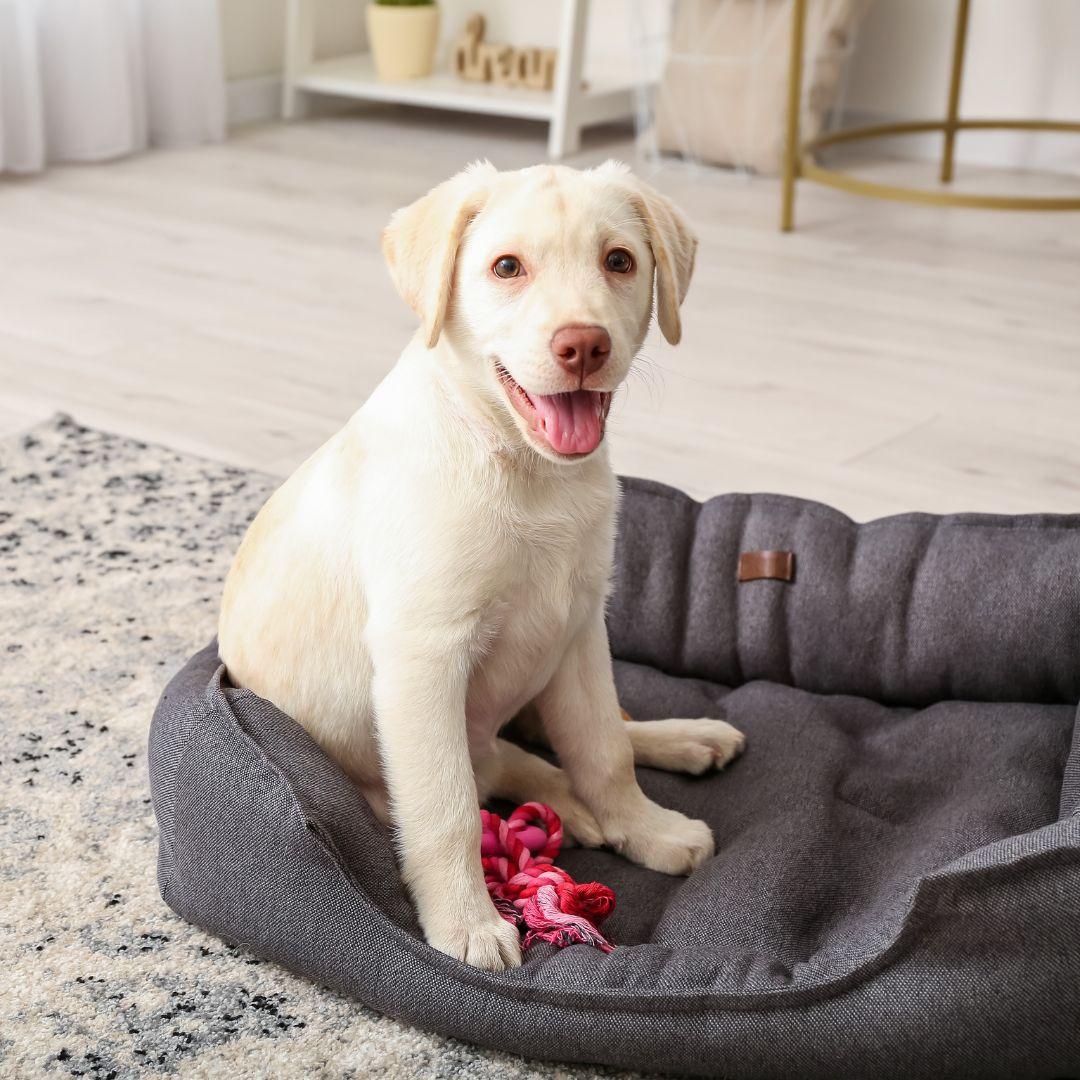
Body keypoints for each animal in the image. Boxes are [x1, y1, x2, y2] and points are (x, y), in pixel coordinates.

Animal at [219, 159, 743, 972]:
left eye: (619, 261)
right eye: (507, 268)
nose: (583, 346)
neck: (525, 470)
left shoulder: (580, 630)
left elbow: (603, 747)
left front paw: (644, 828)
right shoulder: (423, 659)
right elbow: (447, 808)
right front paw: (466, 924)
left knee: (573, 739)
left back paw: (683, 741)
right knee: (491, 767)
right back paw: (572, 803)